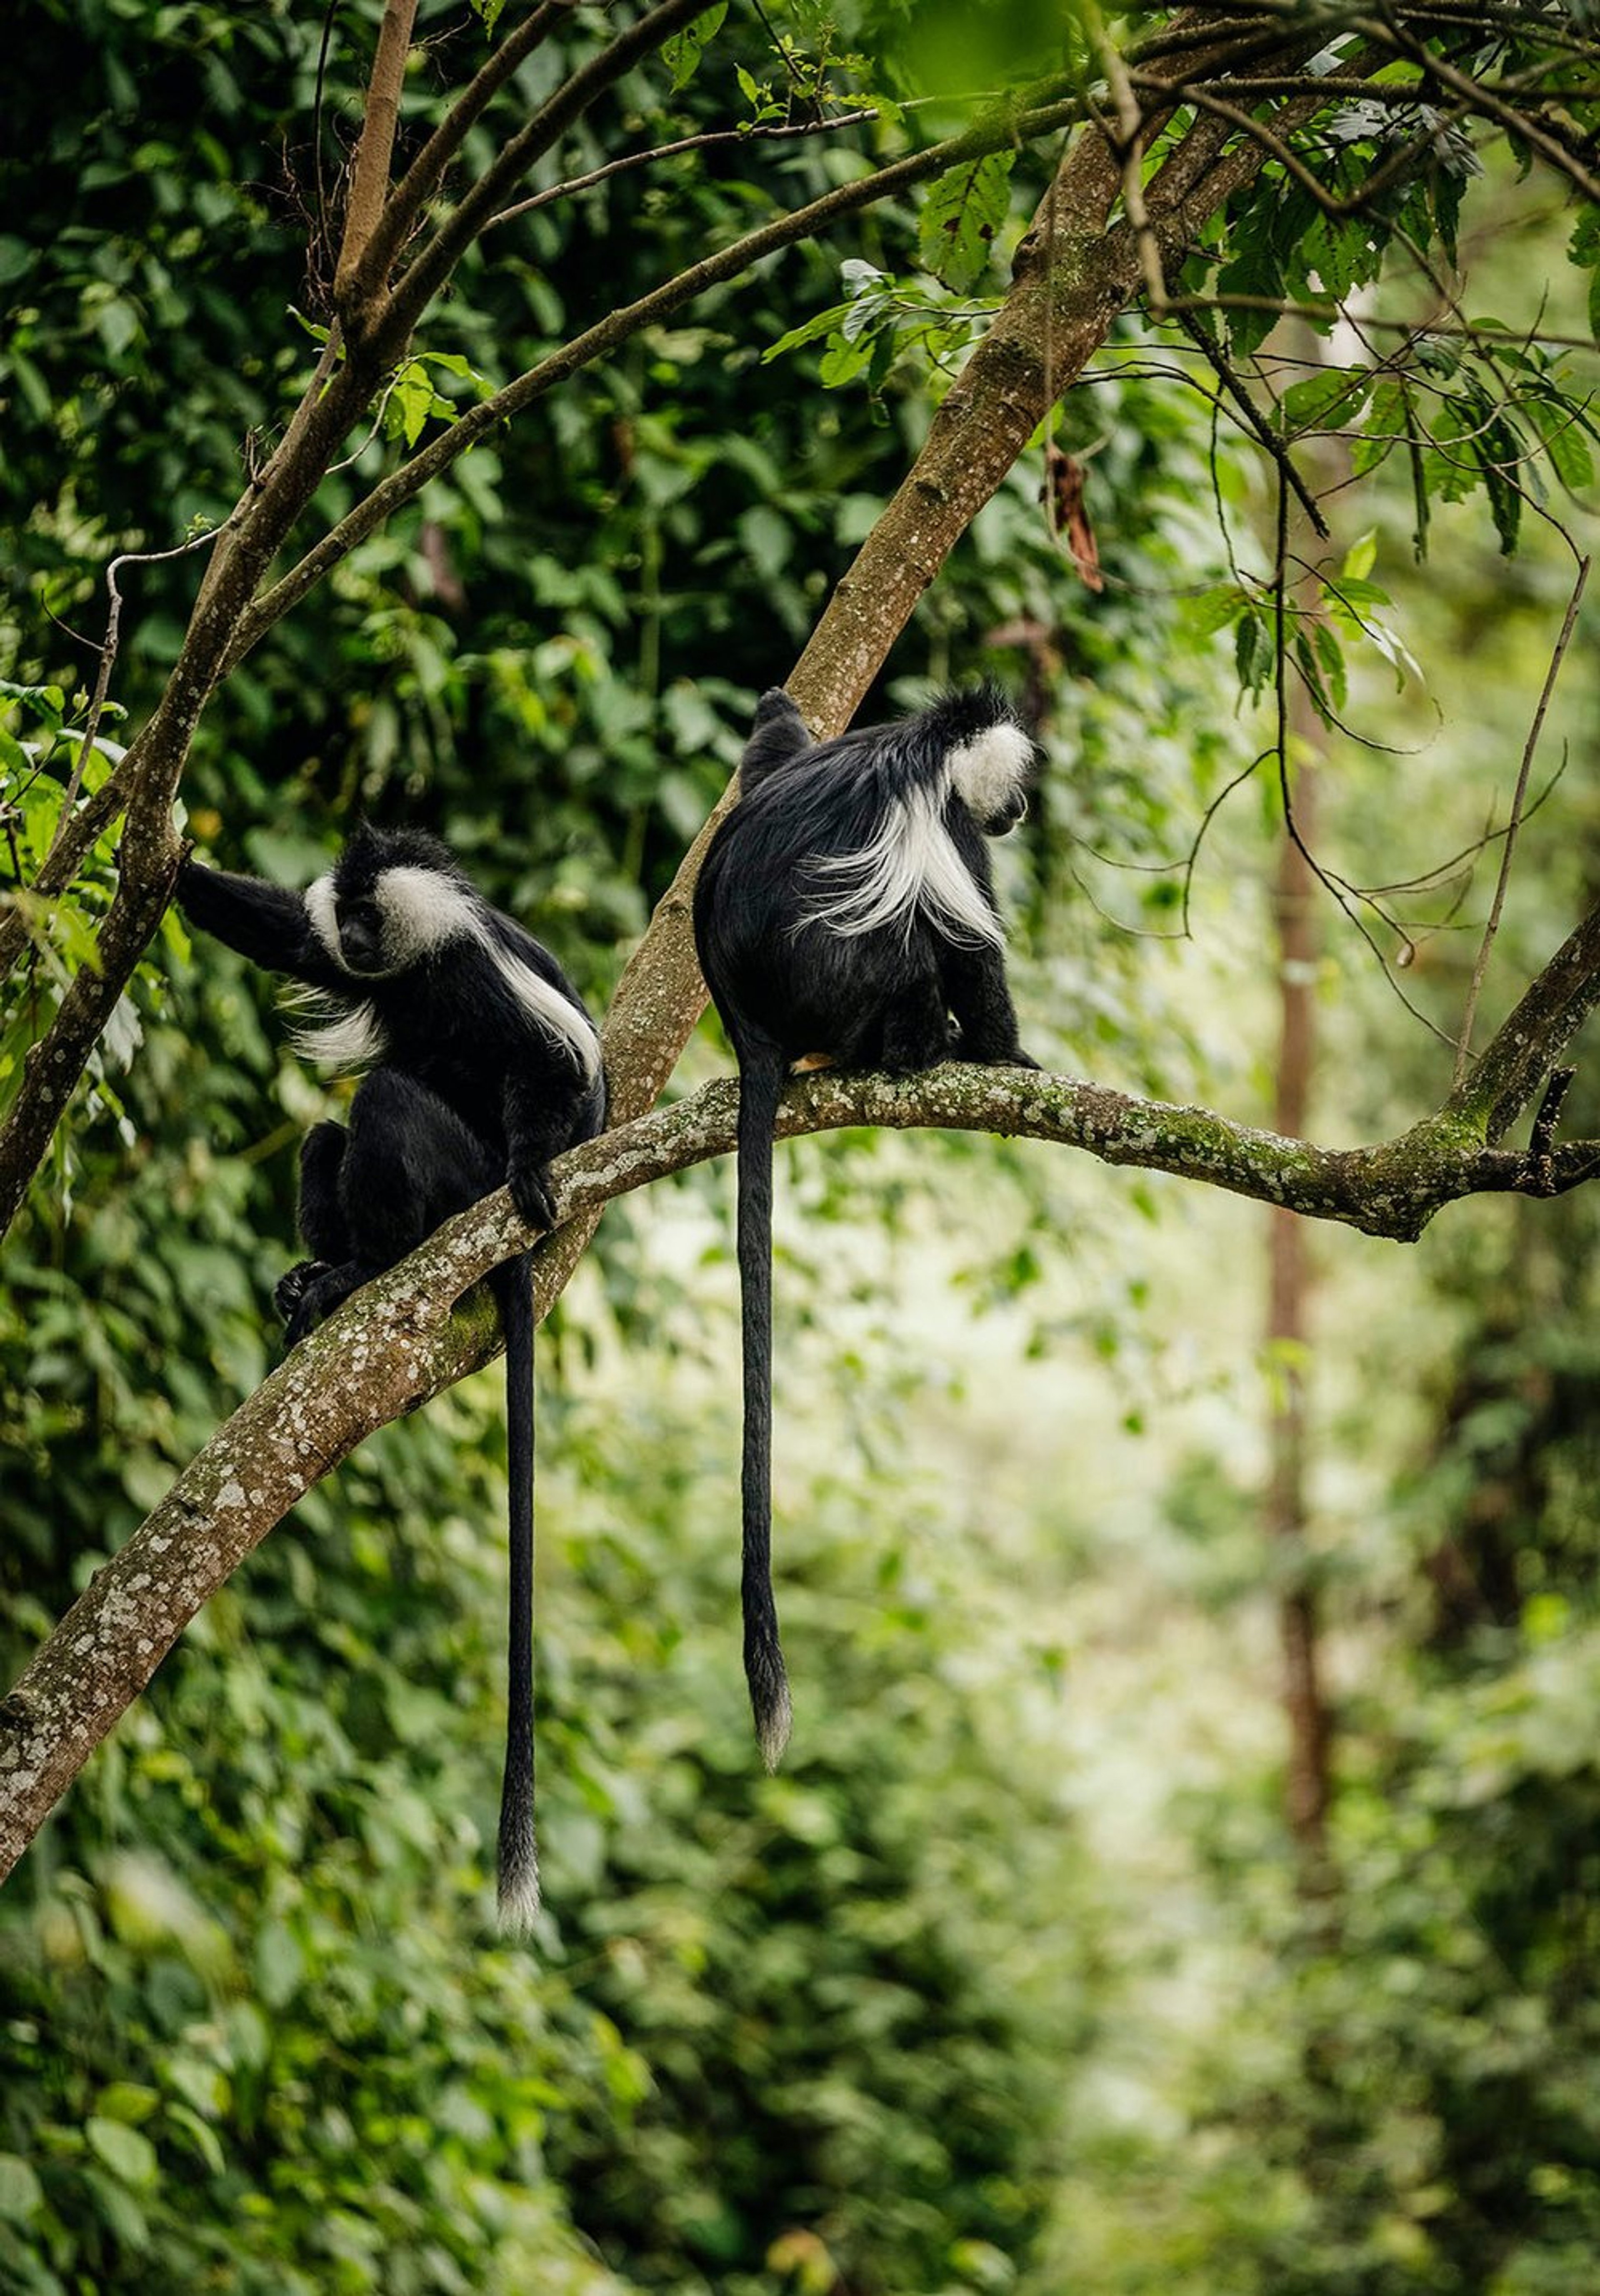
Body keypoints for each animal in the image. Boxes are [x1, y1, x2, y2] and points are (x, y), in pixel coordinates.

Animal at [176, 823, 607, 1933]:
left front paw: (538, 1170)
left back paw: (374, 1264)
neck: (414, 963)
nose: (362, 938)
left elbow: (545, 1069)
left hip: (460, 1183)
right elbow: (288, 940)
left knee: (387, 1104)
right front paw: (158, 854)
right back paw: (324, 1278)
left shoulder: (475, 974)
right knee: (327, 1135)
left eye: (374, 913)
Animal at [692, 684, 1038, 1772]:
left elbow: (770, 744)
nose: (1021, 811)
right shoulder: (945, 825)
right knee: (906, 947)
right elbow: (971, 946)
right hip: (838, 987)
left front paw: (776, 711)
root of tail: (752, 1032)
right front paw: (1012, 1056)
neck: (920, 741)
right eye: (1016, 783)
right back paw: (916, 1046)